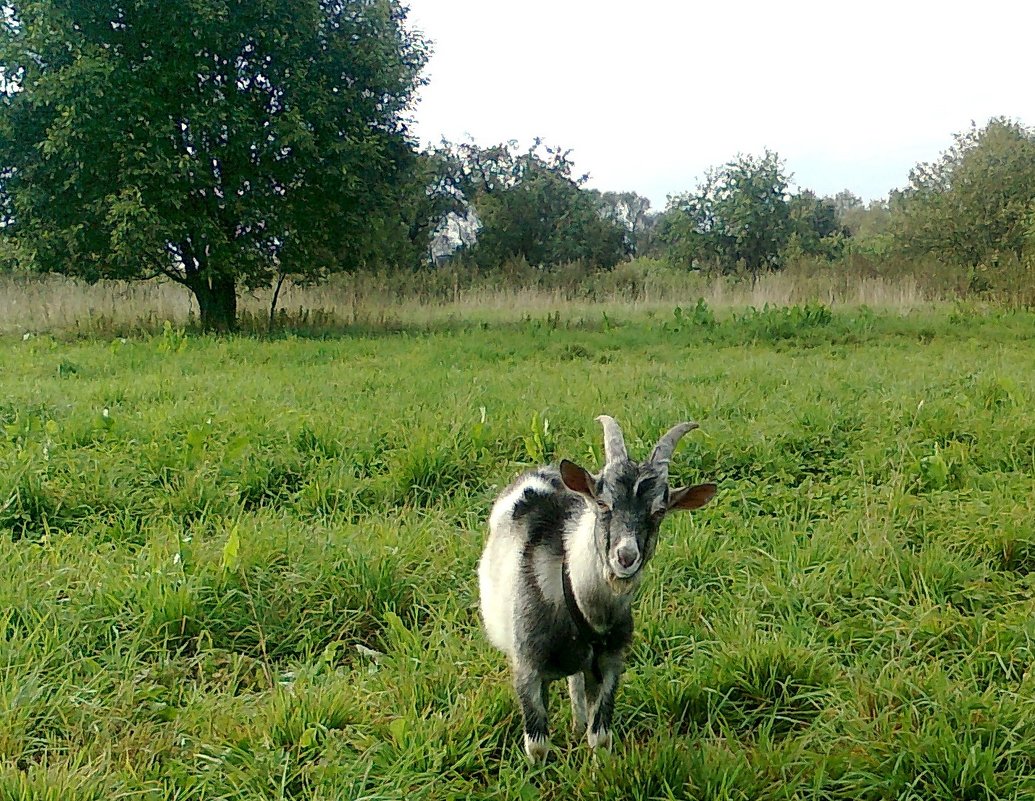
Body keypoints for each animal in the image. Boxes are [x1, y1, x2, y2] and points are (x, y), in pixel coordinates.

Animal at [478, 418, 716, 761]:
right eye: (603, 503)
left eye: (659, 511)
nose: (626, 556)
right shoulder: (527, 666)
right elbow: (537, 744)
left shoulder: (609, 664)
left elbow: (600, 736)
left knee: (576, 682)